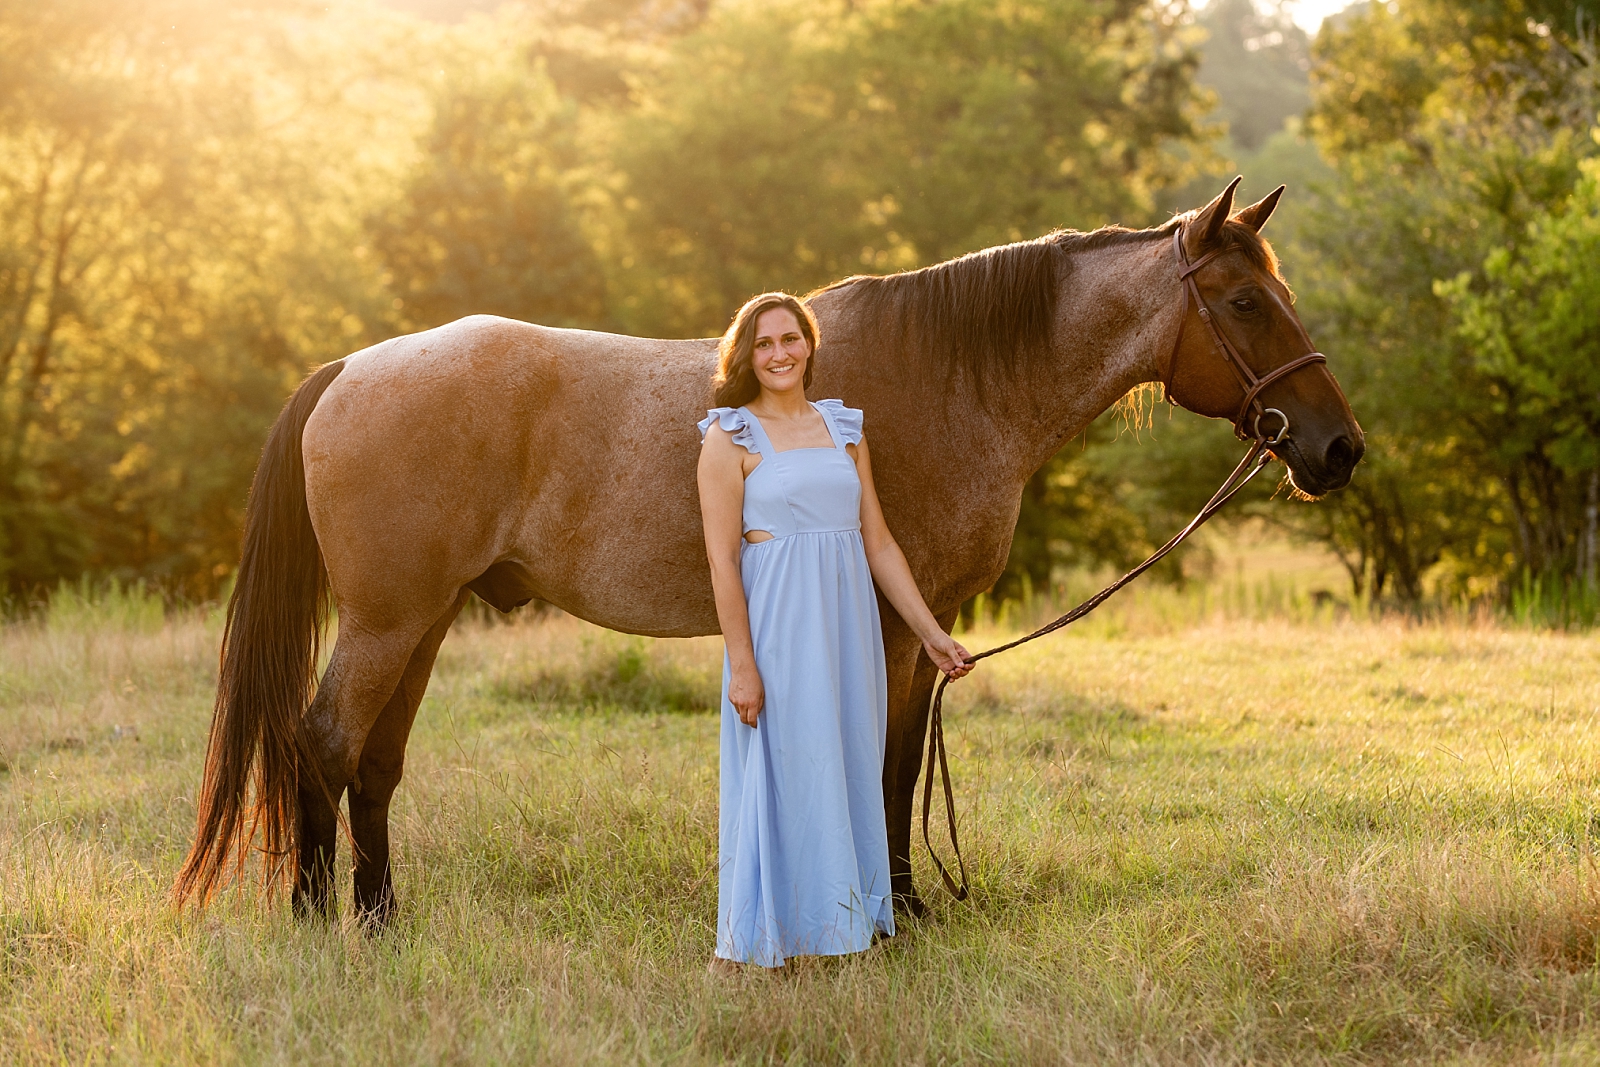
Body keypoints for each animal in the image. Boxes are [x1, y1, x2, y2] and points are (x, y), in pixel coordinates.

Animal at [175, 177, 1363, 927]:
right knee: (322, 744)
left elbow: (894, 765)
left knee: (371, 763)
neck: (951, 380)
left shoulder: (923, 626)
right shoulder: (897, 624)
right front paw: (899, 910)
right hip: (388, 621)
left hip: (422, 620)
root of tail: (351, 367)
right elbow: (887, 766)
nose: (1337, 447)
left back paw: (379, 918)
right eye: (1245, 301)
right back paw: (315, 919)